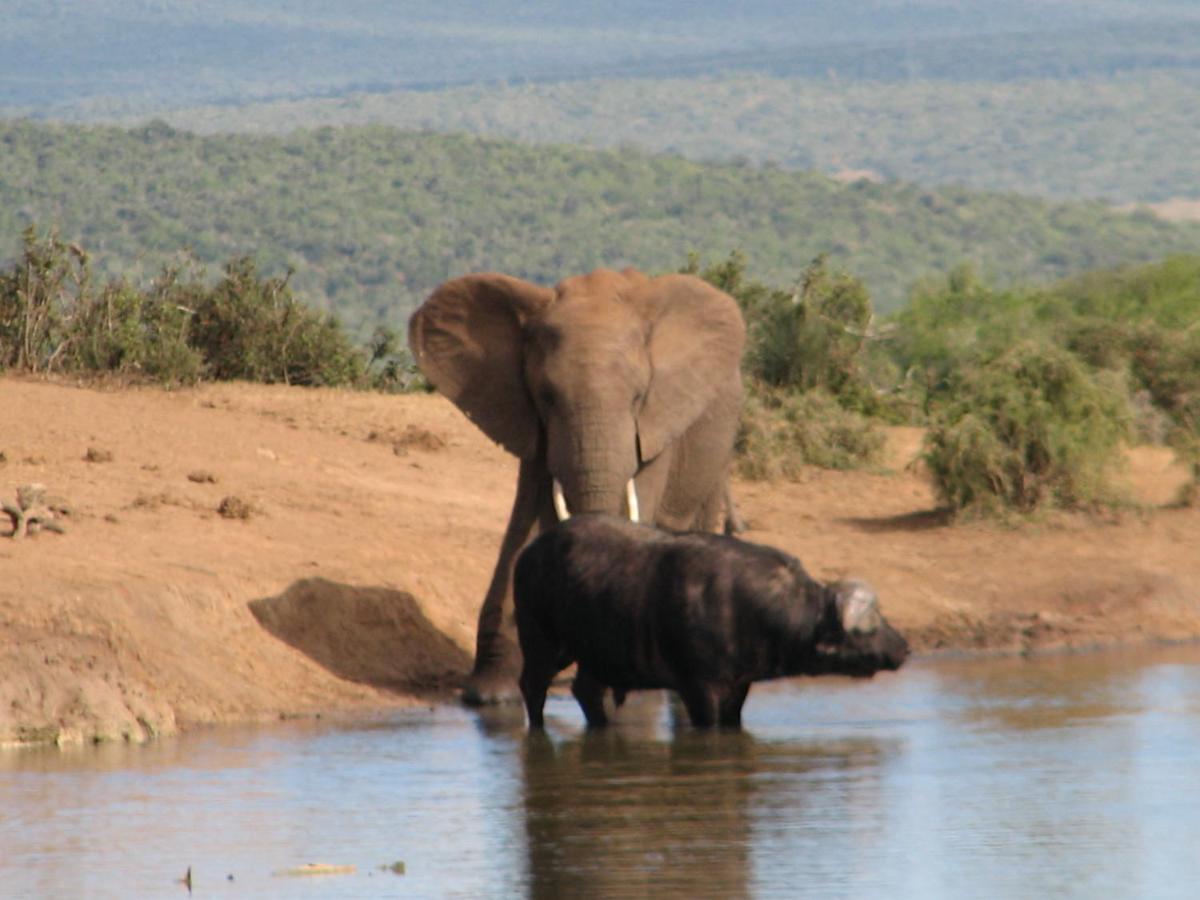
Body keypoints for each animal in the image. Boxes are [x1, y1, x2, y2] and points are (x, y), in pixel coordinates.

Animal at [415, 267, 748, 705]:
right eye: (546, 397)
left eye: (638, 397)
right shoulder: (530, 425)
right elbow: (526, 527)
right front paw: (491, 696)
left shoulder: (654, 427)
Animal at [513, 513, 907, 734]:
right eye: (871, 626)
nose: (904, 647)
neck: (744, 607)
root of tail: (529, 554)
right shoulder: (700, 689)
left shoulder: (738, 688)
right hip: (544, 644)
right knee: (532, 687)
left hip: (593, 653)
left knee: (586, 689)